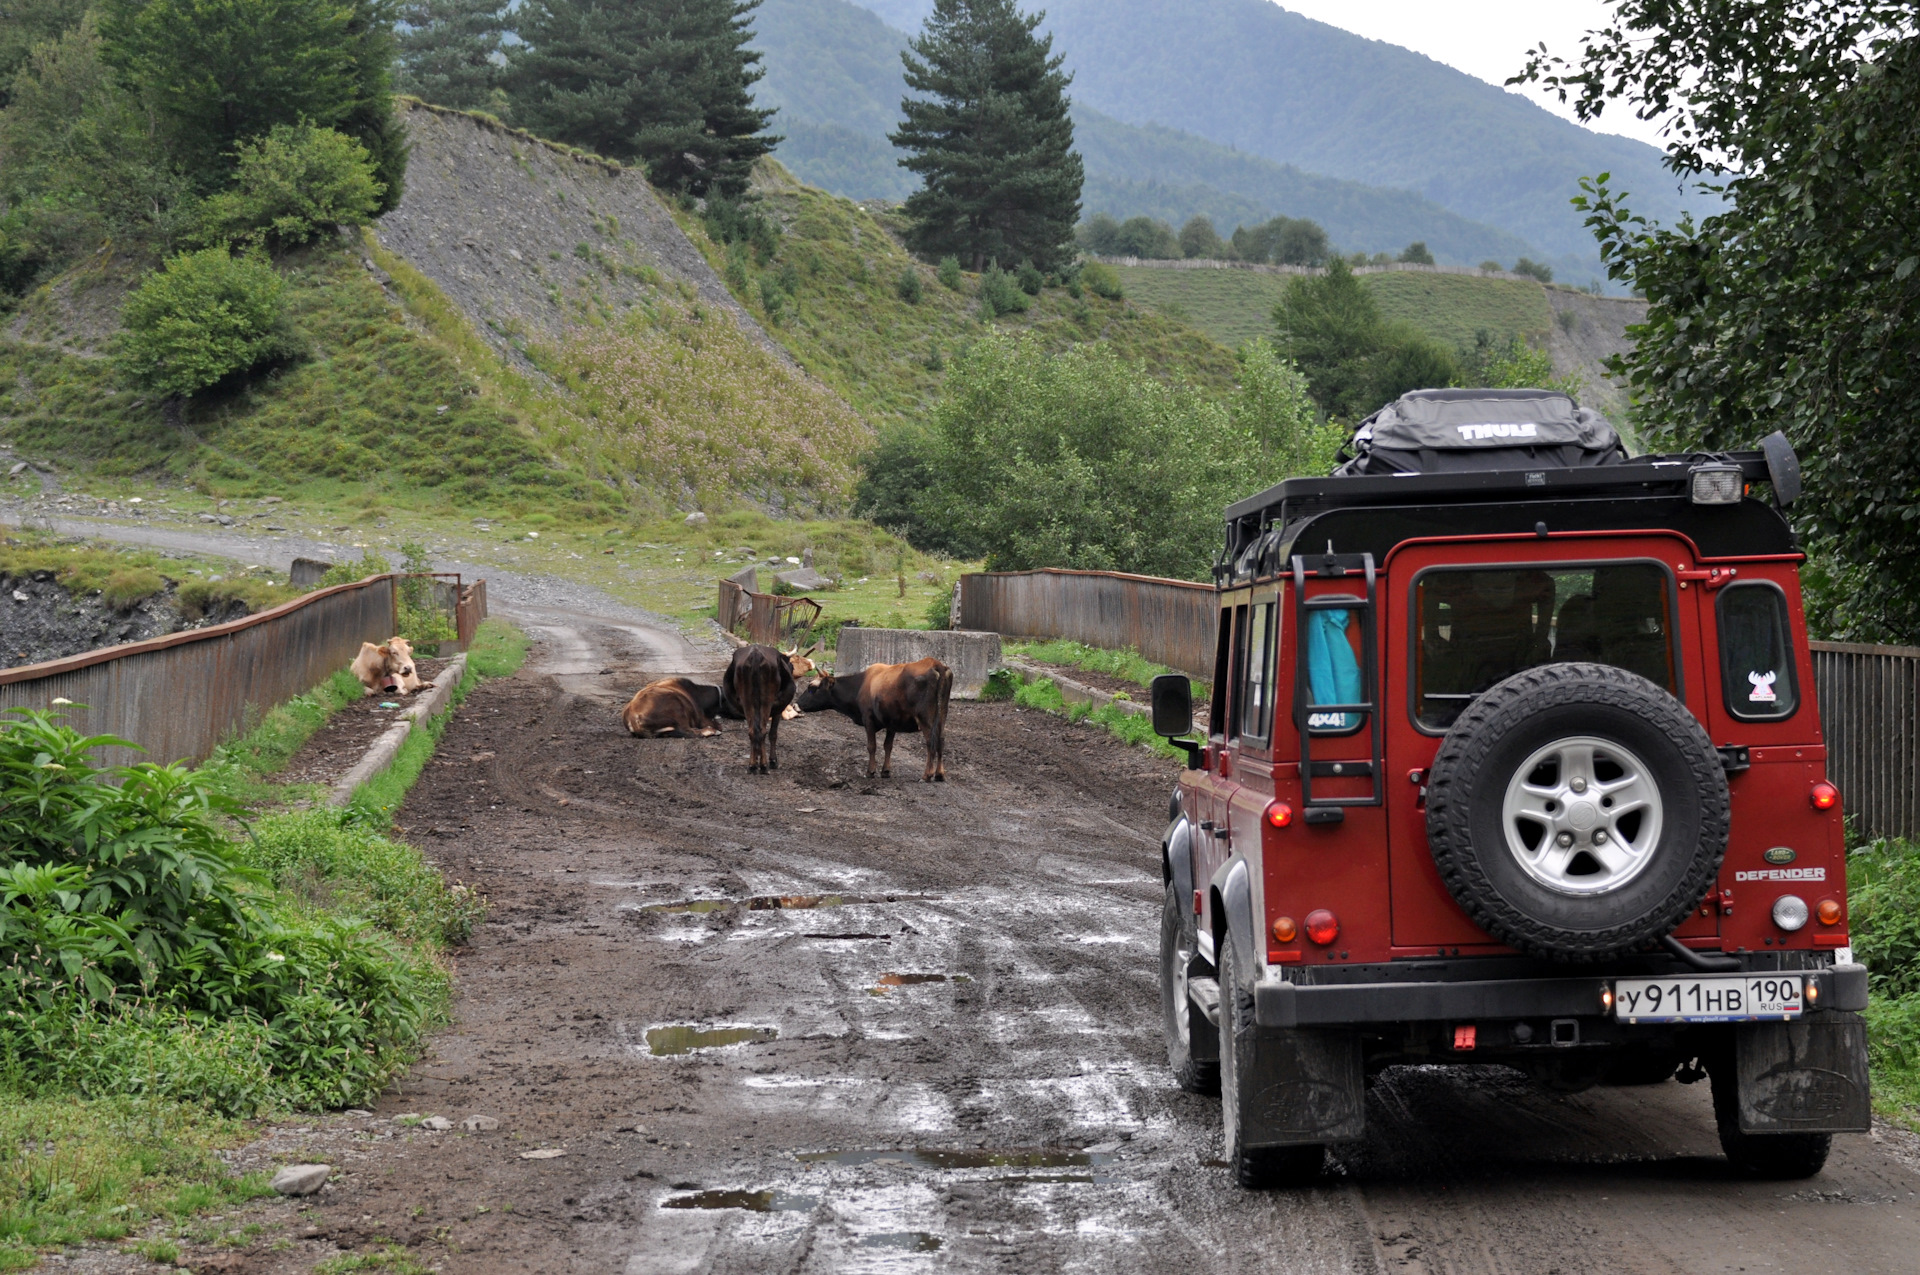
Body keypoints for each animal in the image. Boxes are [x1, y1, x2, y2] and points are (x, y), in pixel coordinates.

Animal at [721, 641, 794, 771]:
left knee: (753, 731)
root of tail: (756, 653)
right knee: (762, 730)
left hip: (747, 700)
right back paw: (764, 765)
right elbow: (773, 734)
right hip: (767, 701)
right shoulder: (778, 710)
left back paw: (753, 765)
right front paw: (773, 760)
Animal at [794, 660, 952, 783]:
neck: (861, 685)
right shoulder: (892, 722)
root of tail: (935, 663)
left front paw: (870, 771)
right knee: (941, 740)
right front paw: (885, 771)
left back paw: (927, 775)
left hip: (925, 719)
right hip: (942, 717)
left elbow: (872, 746)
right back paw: (939, 774)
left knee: (931, 742)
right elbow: (888, 746)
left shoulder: (868, 719)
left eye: (812, 688)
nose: (796, 705)